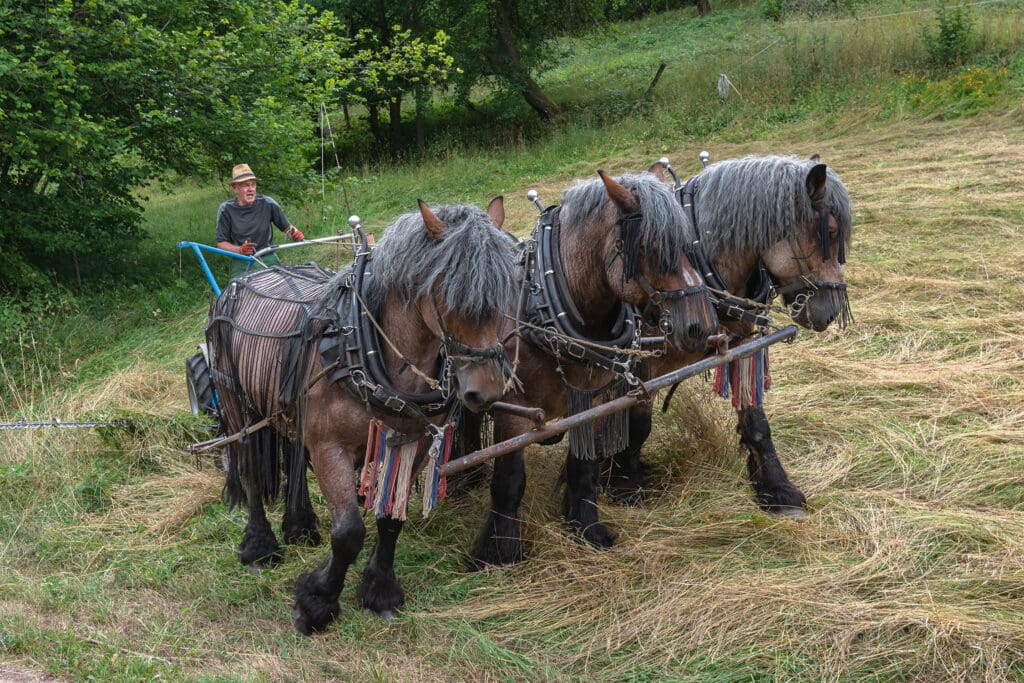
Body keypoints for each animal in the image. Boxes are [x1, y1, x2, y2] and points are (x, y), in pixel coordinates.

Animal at [205, 198, 520, 634]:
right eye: (446, 292)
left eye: (506, 289)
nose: (486, 389)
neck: (359, 348)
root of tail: (251, 275)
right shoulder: (330, 448)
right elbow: (348, 532)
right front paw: (316, 602)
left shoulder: (412, 443)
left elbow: (391, 519)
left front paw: (380, 591)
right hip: (239, 410)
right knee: (251, 471)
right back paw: (259, 547)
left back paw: (300, 525)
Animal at [468, 169, 716, 565]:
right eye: (650, 249)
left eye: (687, 244)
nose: (700, 325)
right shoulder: (512, 413)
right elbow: (508, 481)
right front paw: (498, 553)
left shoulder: (593, 400)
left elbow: (583, 466)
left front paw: (587, 529)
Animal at [606, 154, 856, 511]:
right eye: (830, 232)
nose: (832, 310)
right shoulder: (641, 369)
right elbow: (637, 427)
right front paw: (625, 486)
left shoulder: (742, 346)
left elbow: (756, 420)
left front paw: (776, 487)